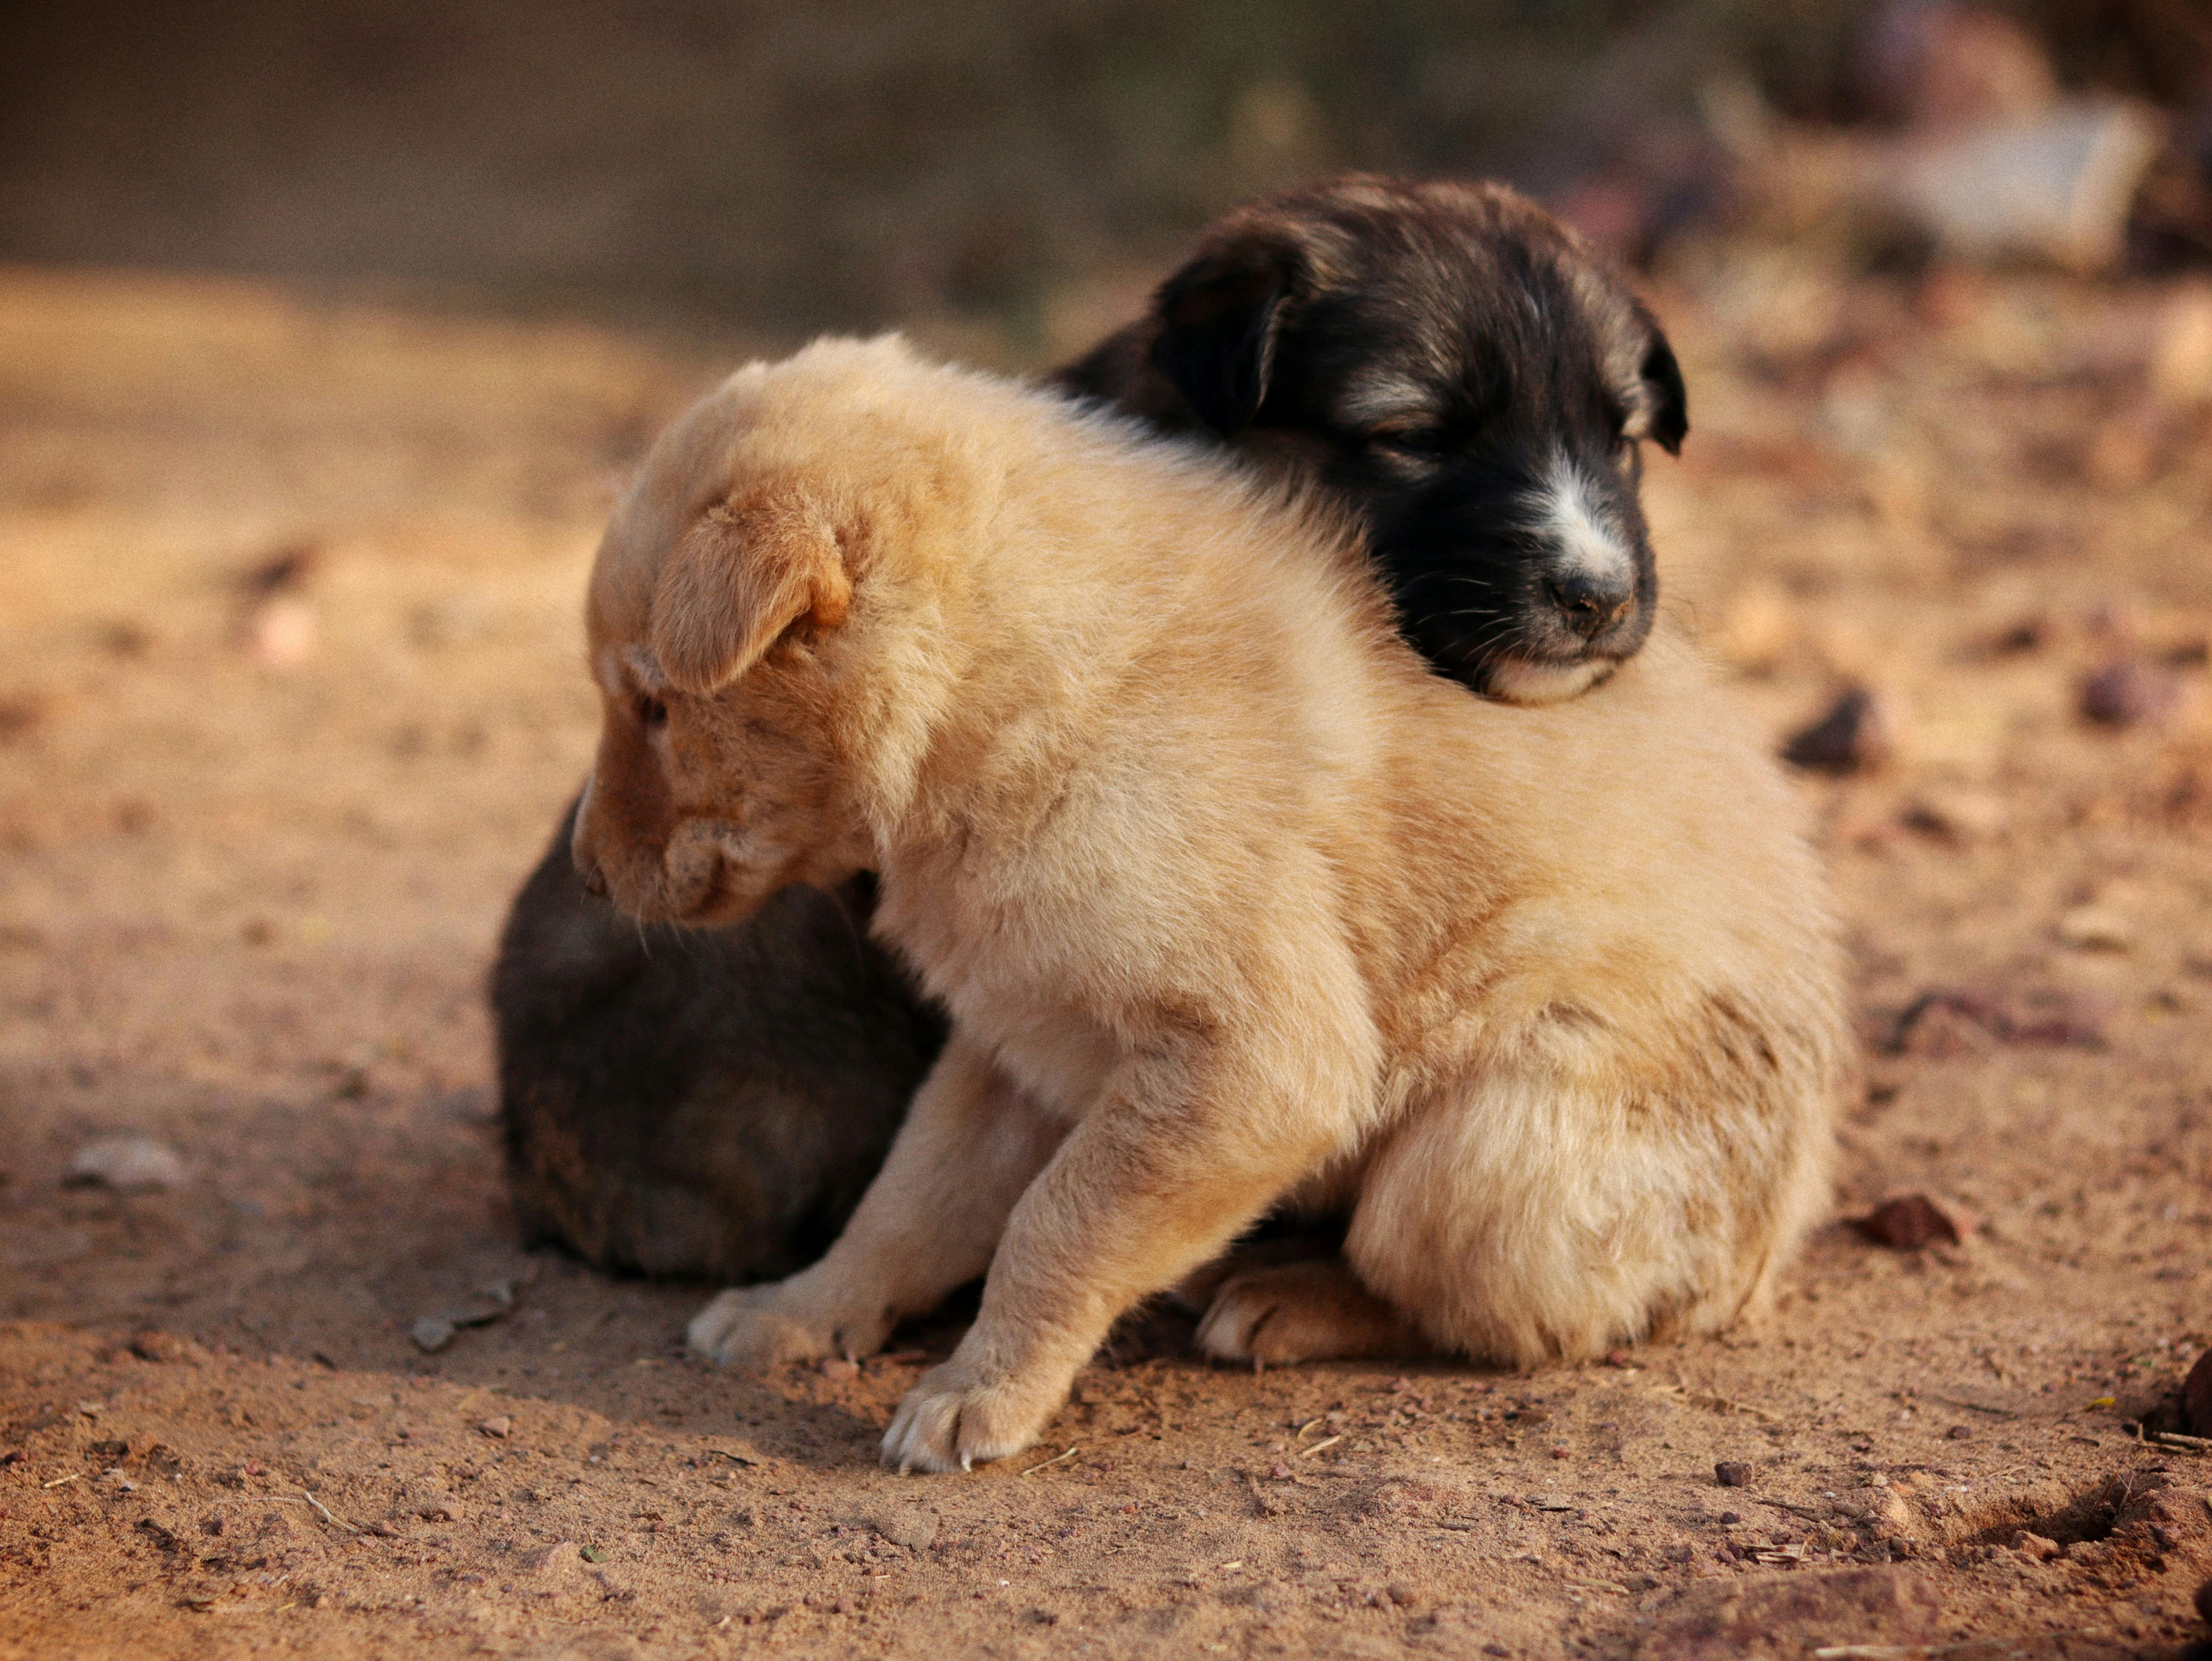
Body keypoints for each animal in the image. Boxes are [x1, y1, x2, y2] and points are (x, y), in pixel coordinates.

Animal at [575, 331, 1849, 1477]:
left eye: (653, 705)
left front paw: (978, 1396)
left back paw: (1281, 1296)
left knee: (1482, 1306)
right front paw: (798, 1310)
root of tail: (1775, 1246)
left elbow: (1054, 1225)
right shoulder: (1016, 1040)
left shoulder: (1258, 1064)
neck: (1013, 685)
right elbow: (907, 1203)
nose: (587, 872)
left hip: (1482, 1156)